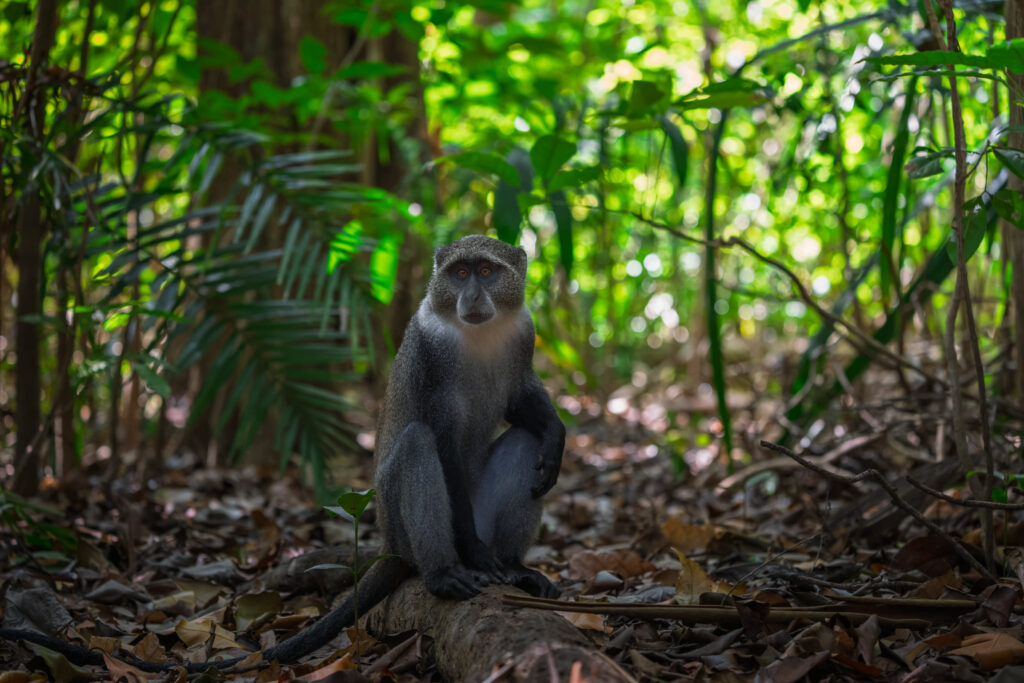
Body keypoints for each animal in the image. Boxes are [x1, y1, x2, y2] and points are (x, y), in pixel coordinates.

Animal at [0, 234, 565, 673]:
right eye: (460, 272)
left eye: (488, 271)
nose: (471, 294)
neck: (478, 334)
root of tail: (387, 545)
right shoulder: (430, 353)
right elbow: (440, 439)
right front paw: (472, 553)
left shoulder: (524, 333)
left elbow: (521, 404)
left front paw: (556, 435)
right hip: (403, 527)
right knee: (416, 444)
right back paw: (445, 572)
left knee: (523, 442)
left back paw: (513, 565)